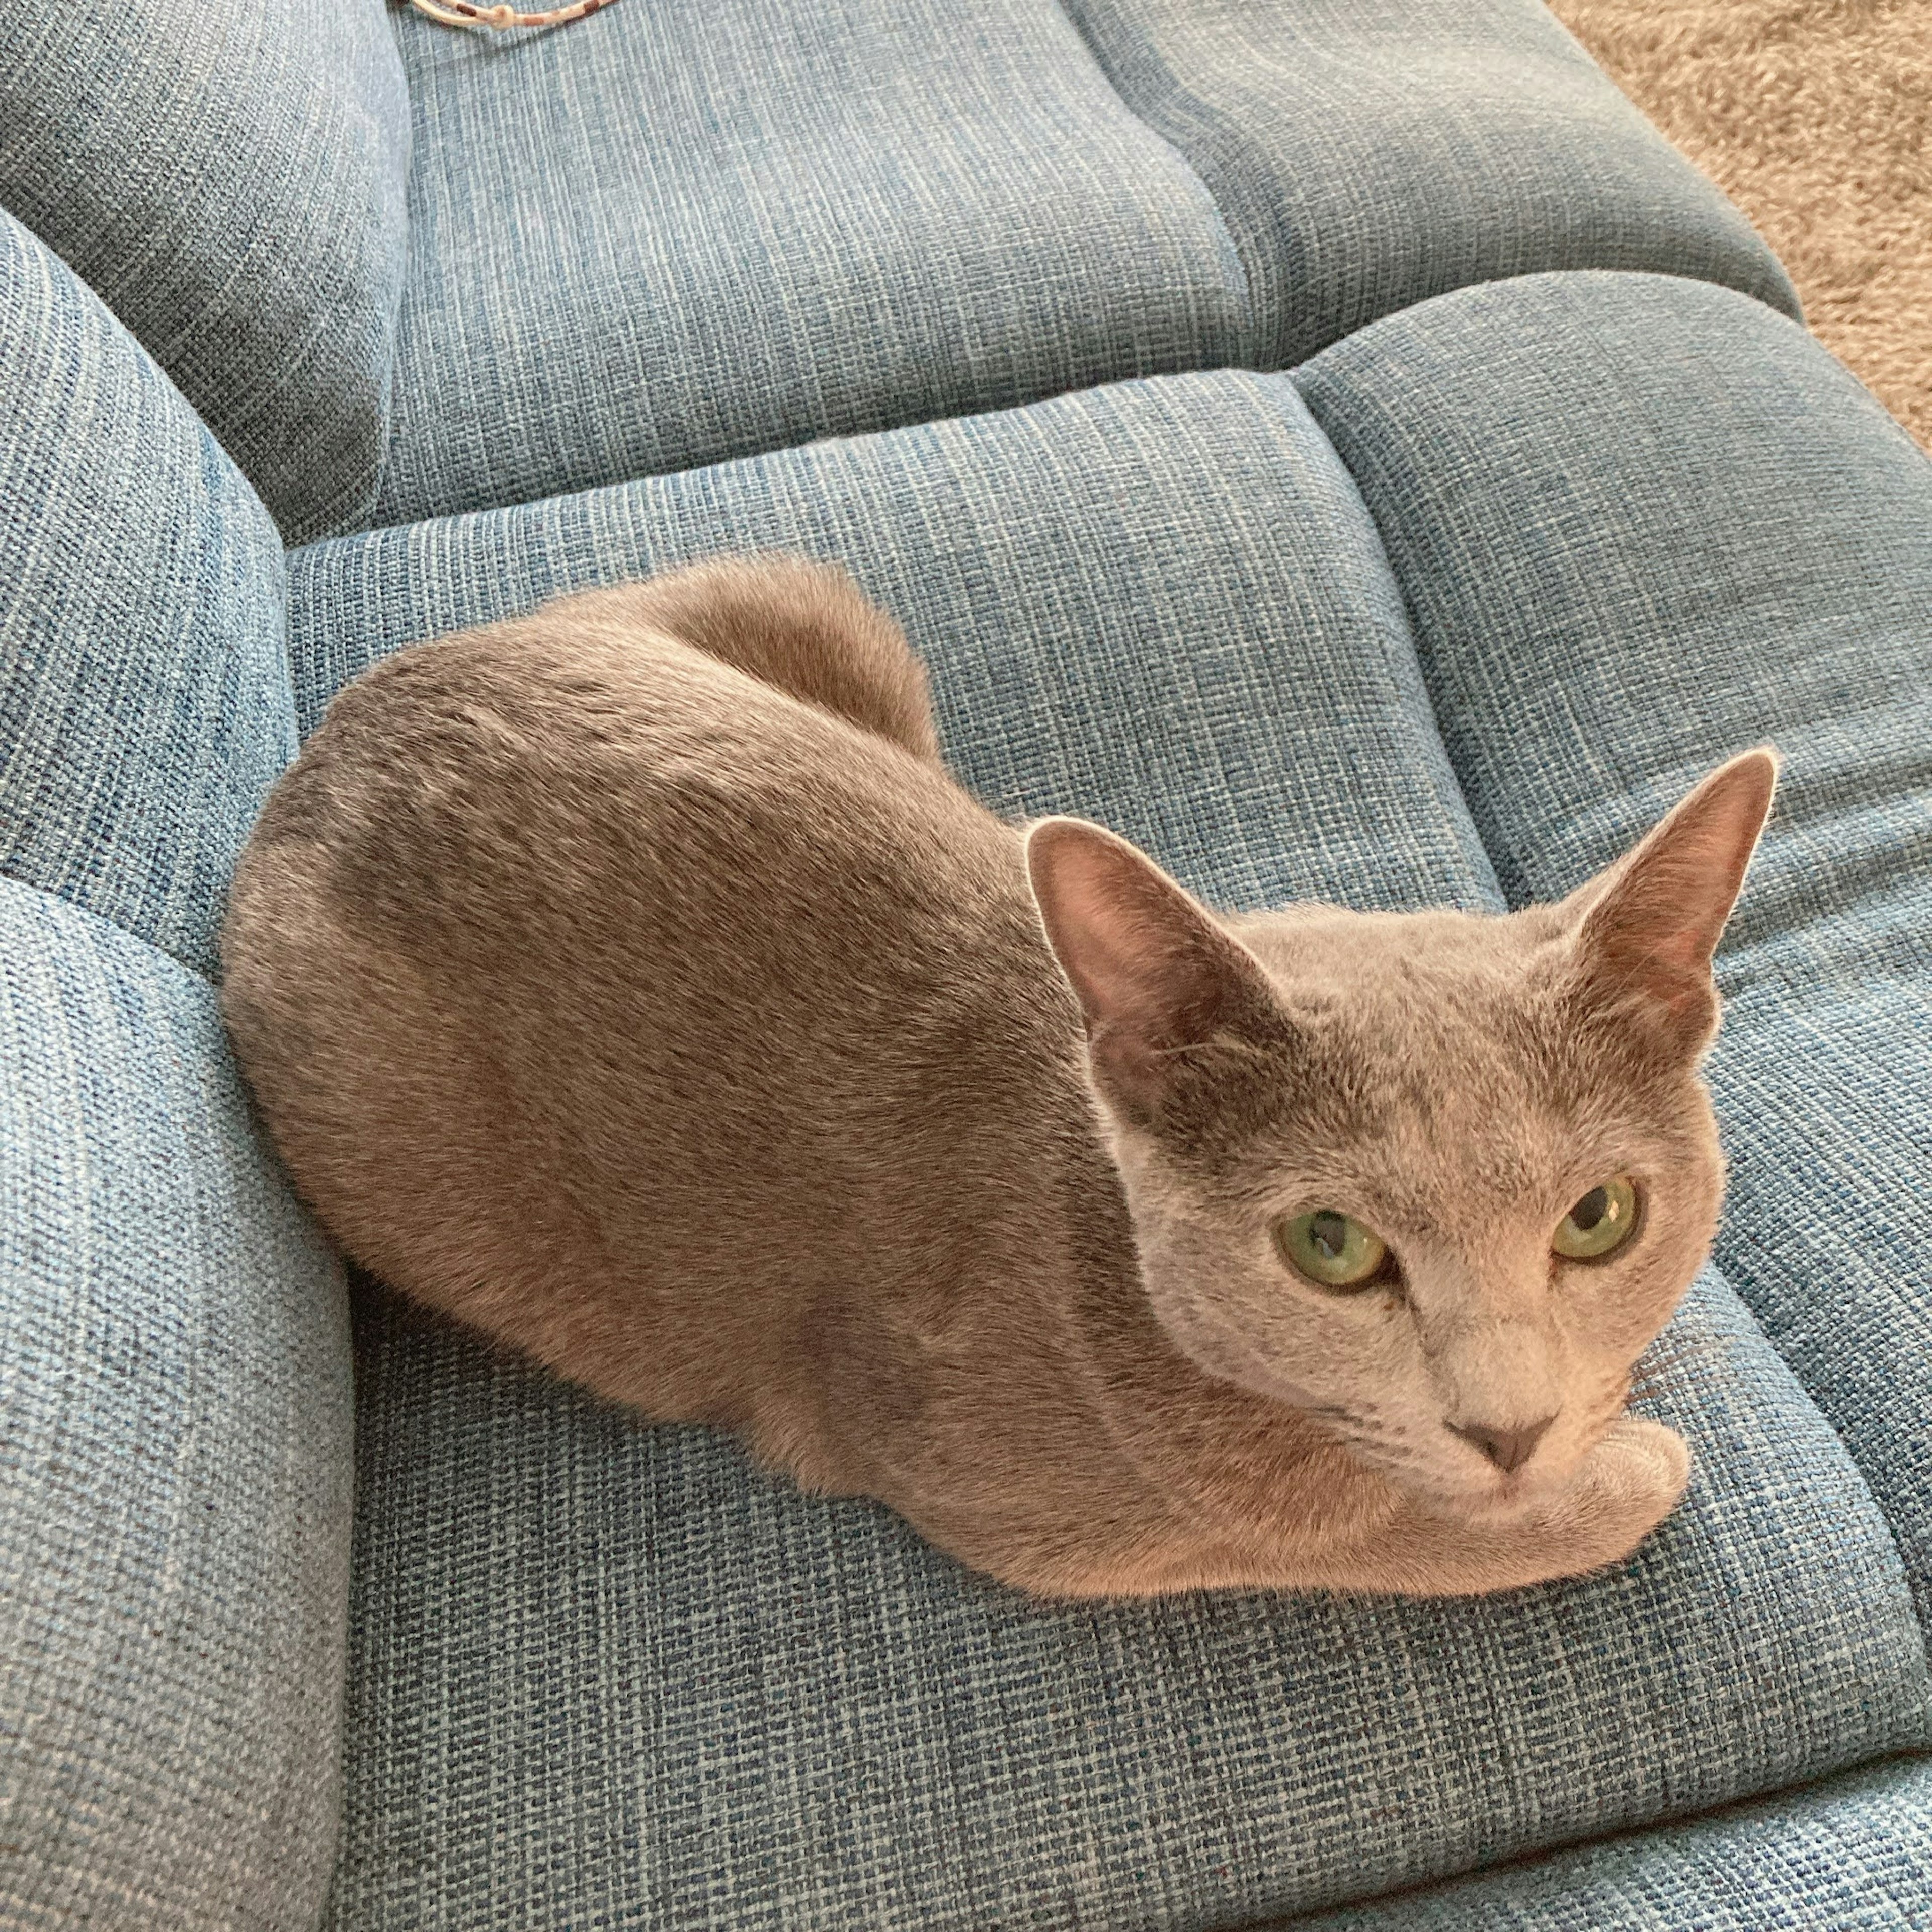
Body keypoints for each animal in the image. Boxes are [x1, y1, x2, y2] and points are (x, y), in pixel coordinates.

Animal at [219, 552, 1769, 1592]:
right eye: (1330, 1246)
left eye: (1598, 1218)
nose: (1510, 1427)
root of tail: (333, 733)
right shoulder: (1015, 1502)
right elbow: (1364, 1533)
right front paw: (1619, 1468)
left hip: (807, 600)